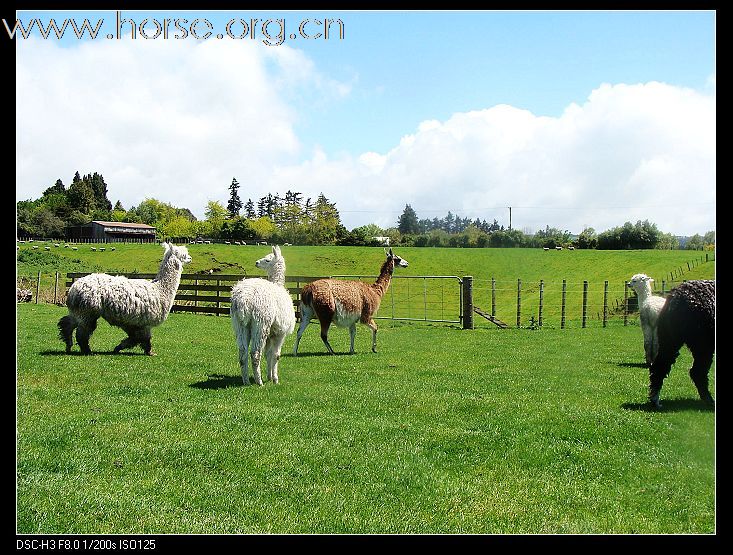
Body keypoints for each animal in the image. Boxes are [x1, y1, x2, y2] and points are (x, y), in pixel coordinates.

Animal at [57, 243, 192, 356]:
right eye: (182, 254)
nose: (190, 258)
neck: (159, 289)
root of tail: (74, 288)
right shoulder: (145, 322)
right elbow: (144, 338)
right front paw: (150, 352)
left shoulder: (133, 322)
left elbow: (135, 338)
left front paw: (119, 347)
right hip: (88, 310)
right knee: (82, 332)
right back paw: (87, 351)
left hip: (80, 311)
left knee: (67, 323)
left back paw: (68, 346)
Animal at [232, 245, 294, 384]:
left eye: (267, 260)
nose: (256, 262)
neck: (278, 285)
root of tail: (243, 299)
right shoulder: (280, 332)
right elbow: (276, 355)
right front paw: (275, 379)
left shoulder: (272, 334)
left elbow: (268, 355)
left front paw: (269, 377)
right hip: (260, 321)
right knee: (255, 353)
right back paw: (259, 382)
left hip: (239, 323)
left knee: (242, 352)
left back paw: (246, 381)